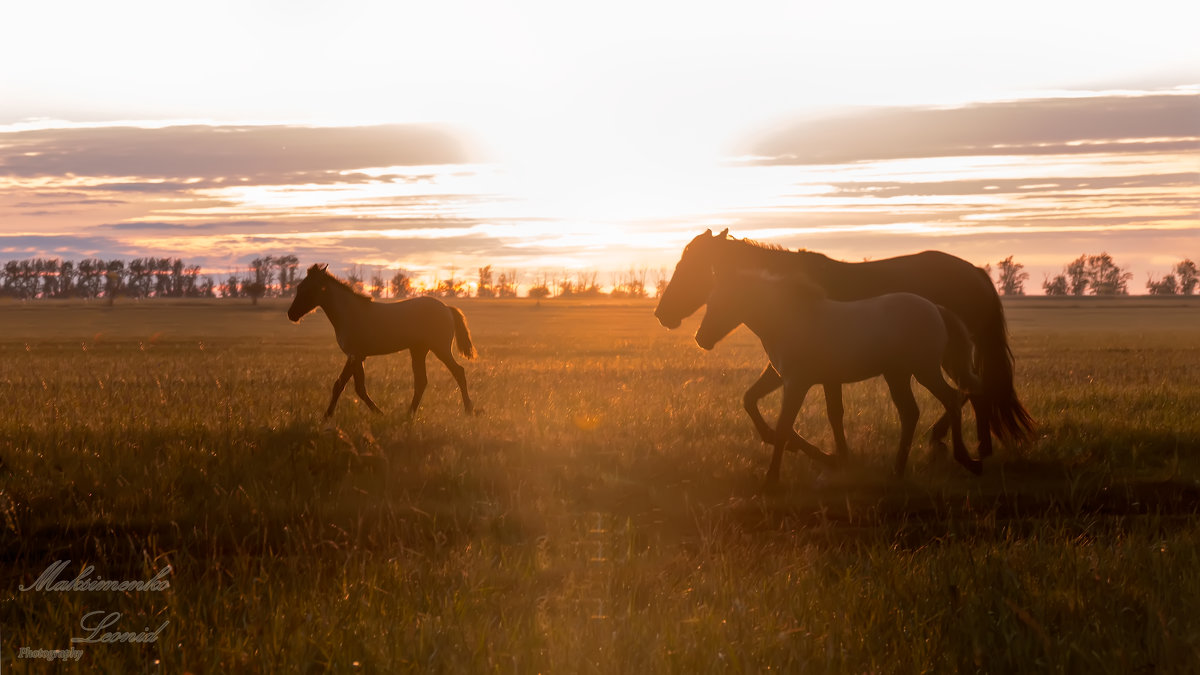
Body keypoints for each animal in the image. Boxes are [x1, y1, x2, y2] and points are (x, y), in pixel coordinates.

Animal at [288, 264, 475, 417]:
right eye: (299, 287)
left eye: (309, 289)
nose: (291, 314)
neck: (350, 313)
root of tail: (447, 308)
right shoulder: (356, 357)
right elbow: (345, 386)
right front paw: (327, 416)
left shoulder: (355, 355)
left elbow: (352, 387)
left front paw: (378, 413)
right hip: (418, 350)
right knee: (422, 381)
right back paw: (409, 414)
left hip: (440, 348)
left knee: (458, 372)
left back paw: (468, 409)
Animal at [652, 228, 1036, 454]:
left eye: (691, 267)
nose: (661, 313)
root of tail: (977, 274)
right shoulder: (794, 369)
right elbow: (750, 399)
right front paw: (794, 443)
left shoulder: (815, 370)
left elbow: (833, 411)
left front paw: (830, 452)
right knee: (974, 390)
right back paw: (973, 445)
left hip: (945, 357)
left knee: (970, 391)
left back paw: (956, 441)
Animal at [696, 266, 984, 482]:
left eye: (723, 302)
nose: (701, 338)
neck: (789, 320)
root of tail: (936, 308)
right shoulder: (785, 377)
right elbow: (753, 402)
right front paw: (826, 457)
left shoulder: (796, 383)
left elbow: (783, 425)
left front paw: (772, 479)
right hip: (898, 375)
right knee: (912, 412)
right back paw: (898, 470)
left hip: (924, 371)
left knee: (950, 400)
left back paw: (967, 460)